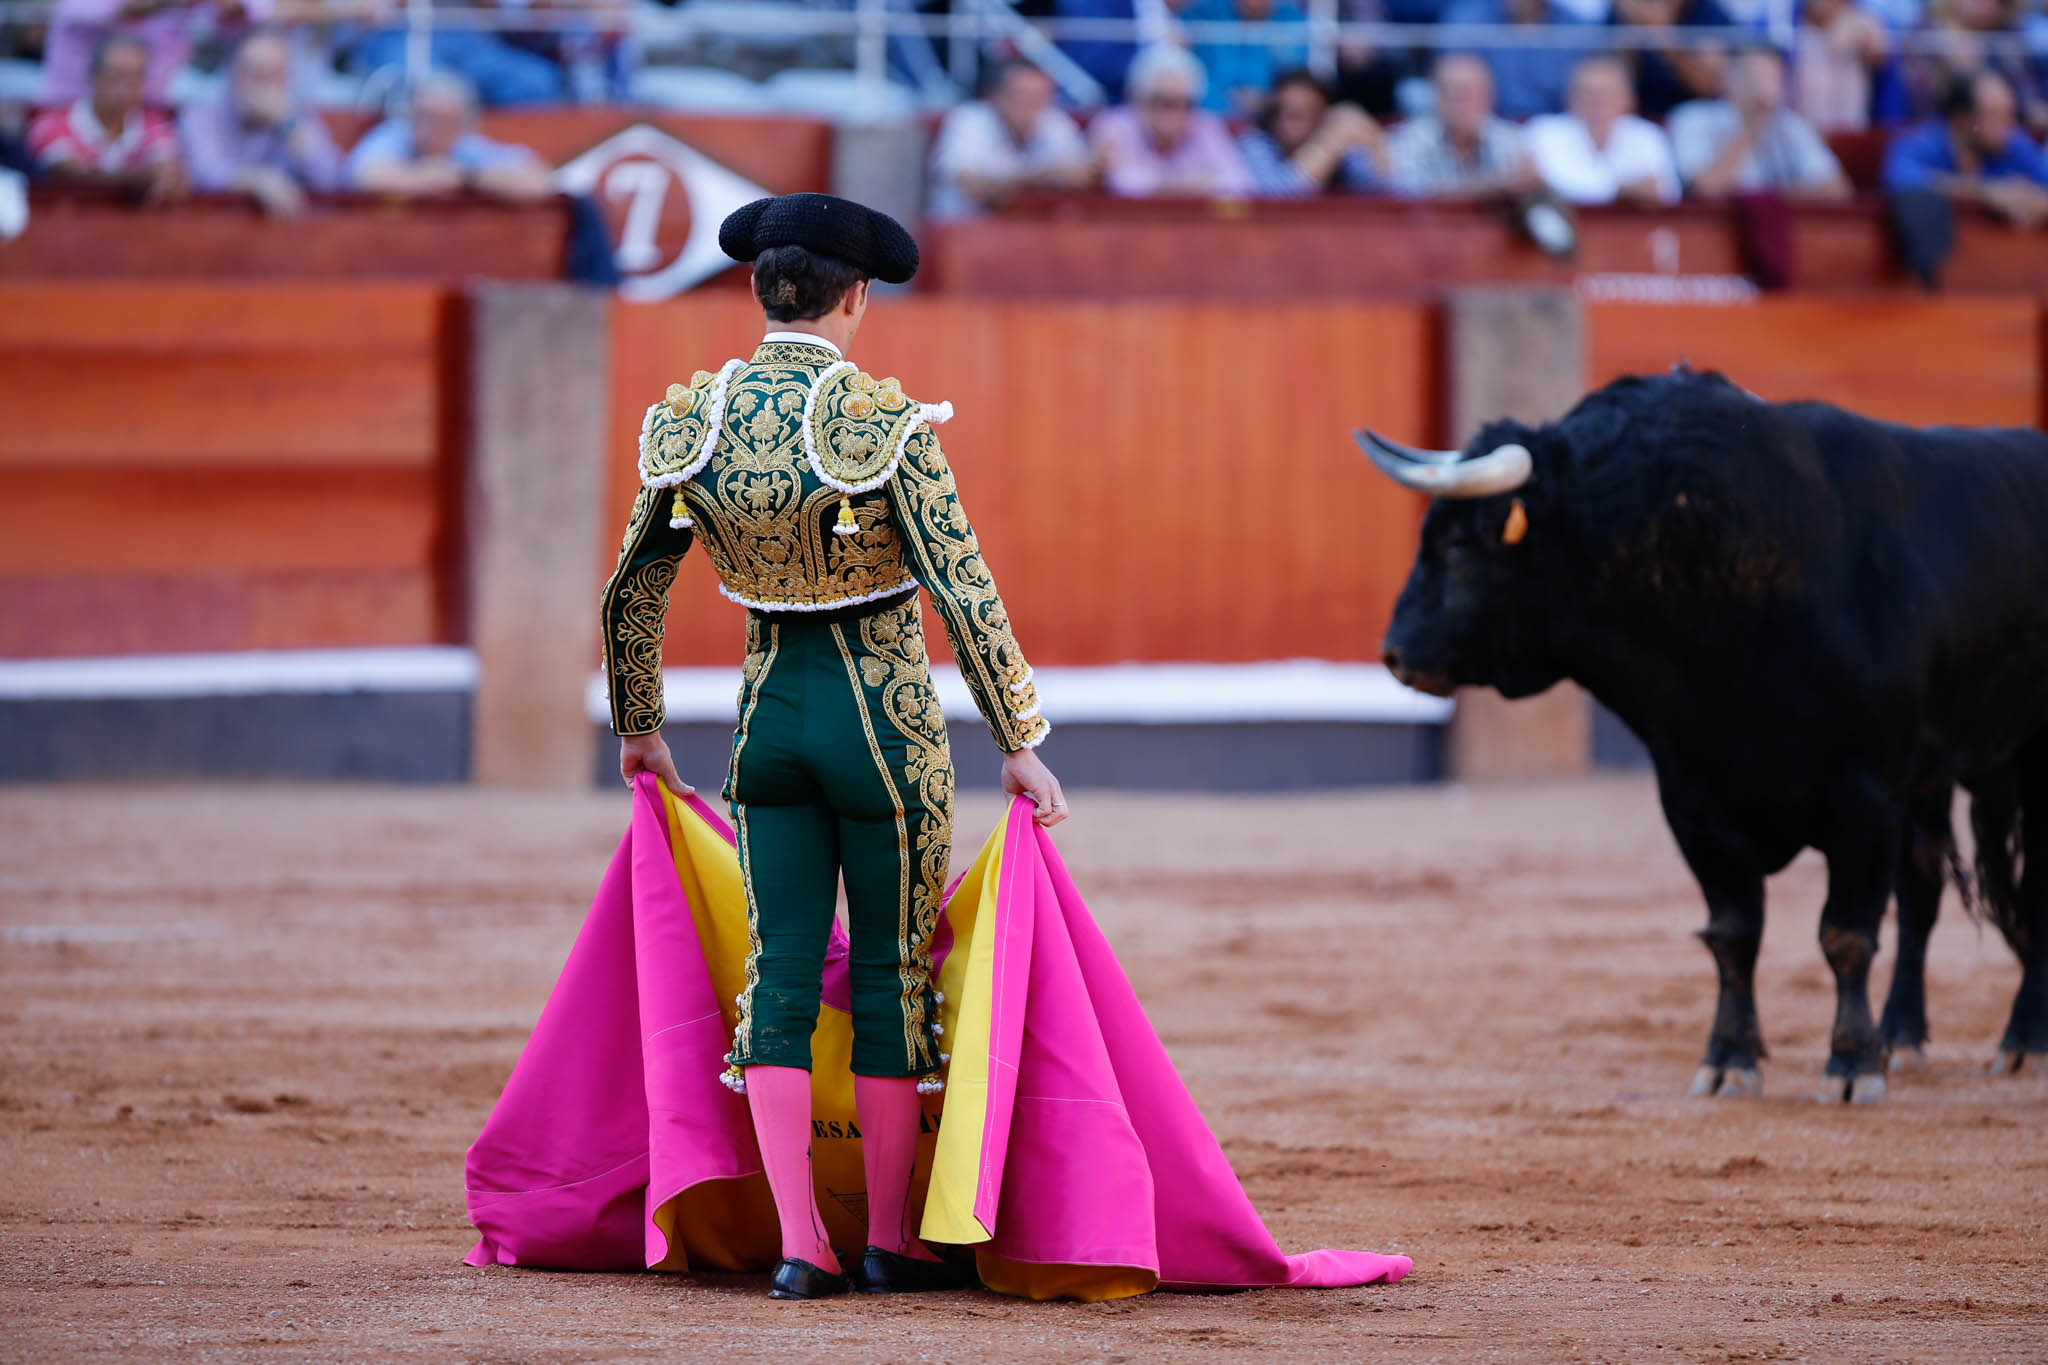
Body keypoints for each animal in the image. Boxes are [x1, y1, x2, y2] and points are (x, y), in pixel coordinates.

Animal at [1359, 368, 2048, 1105]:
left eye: (1462, 544)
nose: (1395, 653)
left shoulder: (1865, 793)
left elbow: (1846, 933)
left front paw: (1851, 1065)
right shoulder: (1695, 799)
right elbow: (1734, 933)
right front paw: (1729, 1059)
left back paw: (2023, 1042)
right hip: (1932, 776)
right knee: (1921, 891)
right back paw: (1904, 1036)